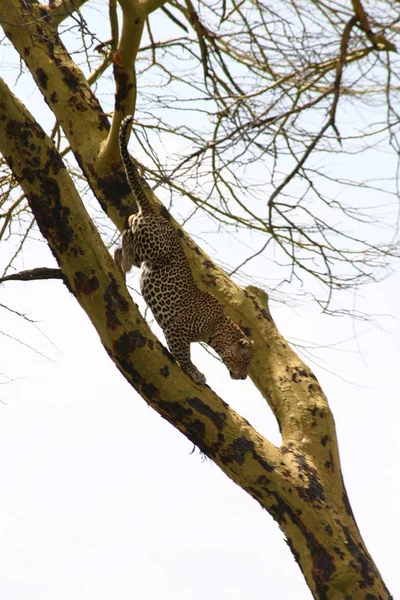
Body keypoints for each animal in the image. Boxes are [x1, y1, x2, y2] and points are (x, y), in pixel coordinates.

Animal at [114, 115, 255, 386]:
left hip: (146, 253)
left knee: (129, 226)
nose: (243, 378)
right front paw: (196, 373)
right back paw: (121, 259)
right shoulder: (176, 331)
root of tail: (154, 213)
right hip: (155, 249)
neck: (217, 327)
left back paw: (120, 257)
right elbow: (184, 356)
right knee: (129, 232)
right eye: (244, 361)